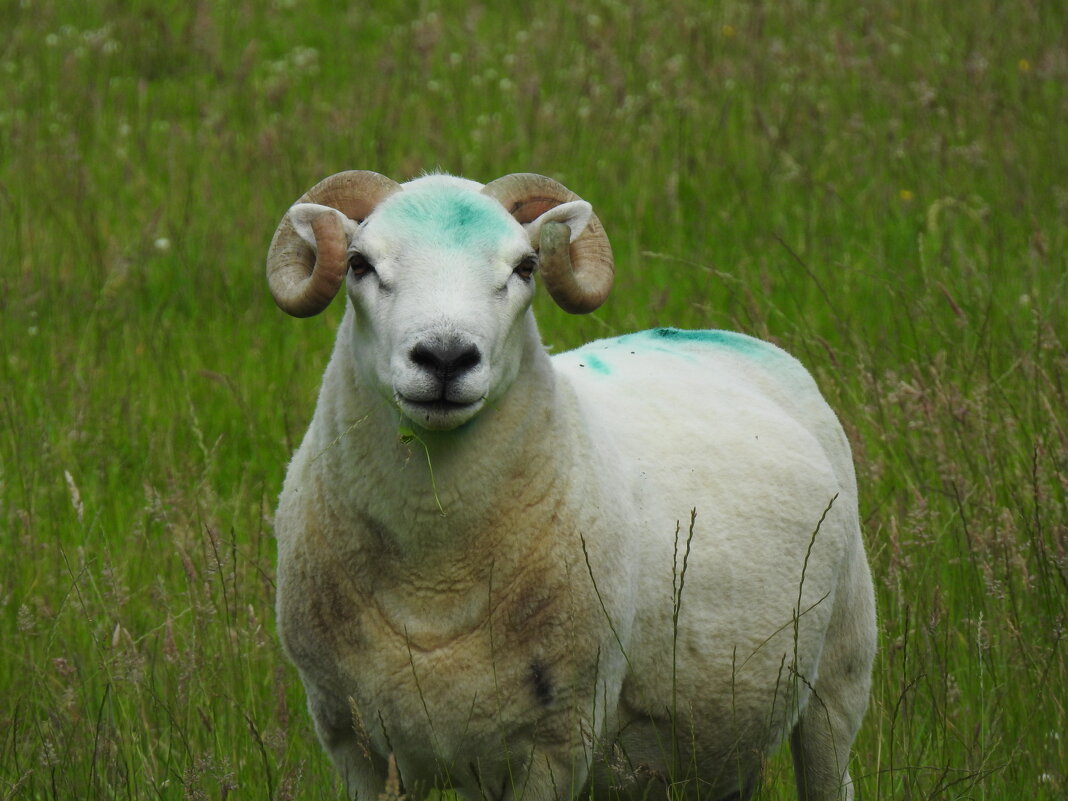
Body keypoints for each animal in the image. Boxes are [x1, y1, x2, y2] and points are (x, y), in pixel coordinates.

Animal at [267, 170, 875, 801]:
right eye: (359, 263)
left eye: (525, 266)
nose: (445, 356)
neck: (432, 574)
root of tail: (718, 336)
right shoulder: (353, 743)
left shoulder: (556, 741)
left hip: (840, 674)